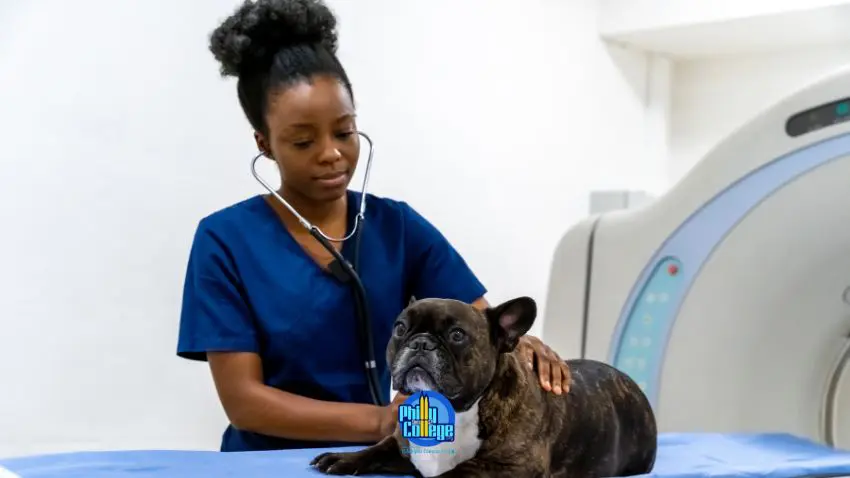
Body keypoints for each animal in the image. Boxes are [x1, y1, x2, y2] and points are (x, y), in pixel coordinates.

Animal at [311, 296, 657, 477]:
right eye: (400, 328)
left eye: (457, 335)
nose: (420, 342)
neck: (455, 409)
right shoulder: (401, 445)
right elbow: (377, 448)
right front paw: (345, 458)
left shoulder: (511, 467)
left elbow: (454, 474)